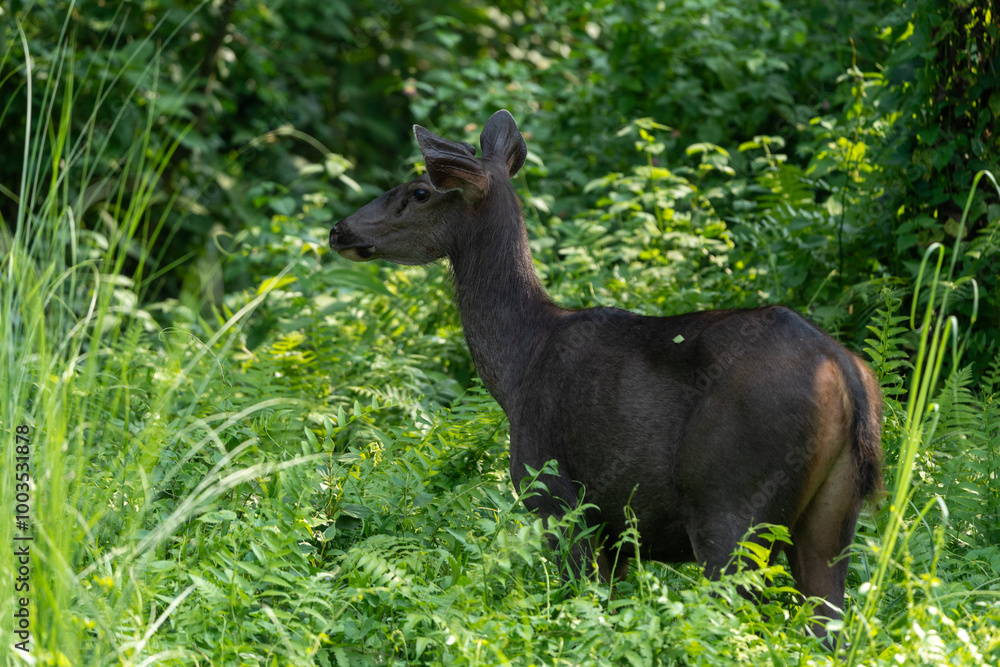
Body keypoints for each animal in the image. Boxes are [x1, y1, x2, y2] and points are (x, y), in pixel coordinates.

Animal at [329, 109, 882, 641]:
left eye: (420, 190)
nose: (339, 230)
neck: (518, 367)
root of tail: (847, 376)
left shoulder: (555, 495)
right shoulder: (616, 530)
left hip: (731, 502)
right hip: (833, 512)